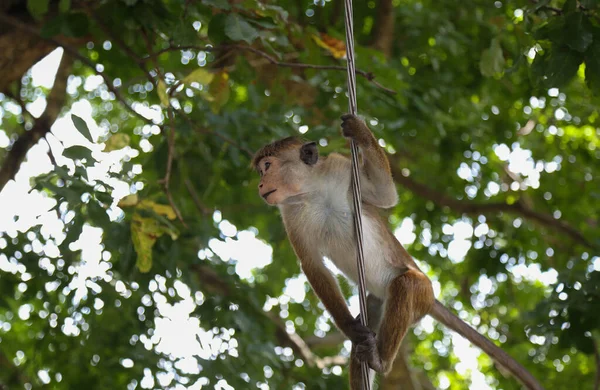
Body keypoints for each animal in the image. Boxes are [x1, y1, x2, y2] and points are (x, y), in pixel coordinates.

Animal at [253, 113, 544, 390]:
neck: (311, 191)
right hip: (378, 302)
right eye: (261, 171)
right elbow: (311, 263)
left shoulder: (340, 168)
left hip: (423, 293)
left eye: (267, 167)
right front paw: (350, 328)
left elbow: (385, 195)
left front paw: (361, 132)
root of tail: (432, 299)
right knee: (367, 332)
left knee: (406, 284)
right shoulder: (289, 213)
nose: (259, 185)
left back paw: (381, 360)